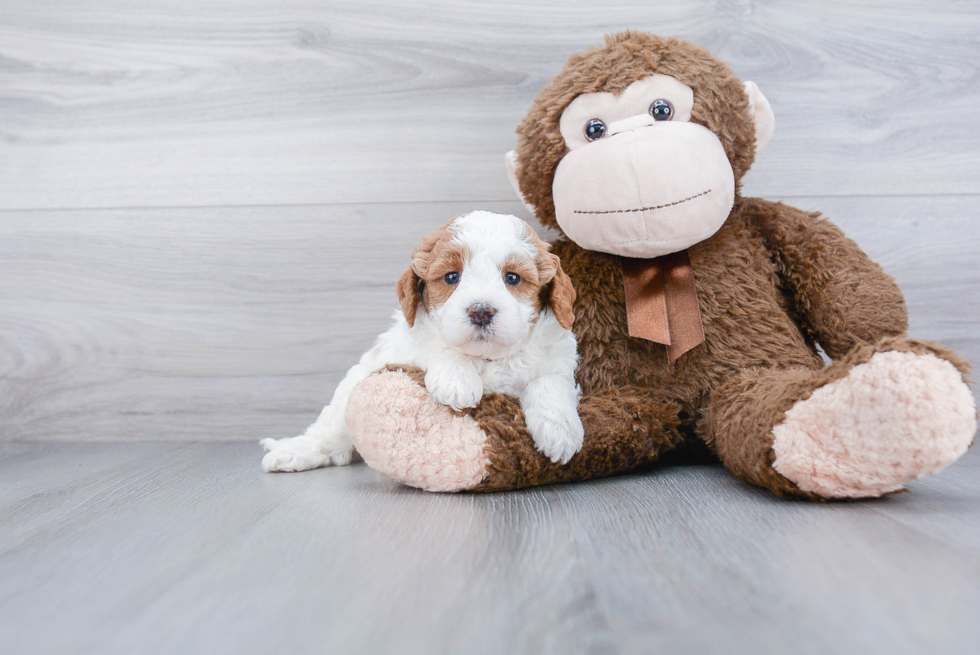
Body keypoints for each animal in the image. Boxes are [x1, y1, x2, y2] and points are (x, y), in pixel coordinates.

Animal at [258, 213, 580, 474]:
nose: (481, 311)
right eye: (451, 277)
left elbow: (549, 382)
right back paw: (295, 452)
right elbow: (437, 346)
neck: (486, 357)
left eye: (512, 278)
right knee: (328, 433)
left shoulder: (558, 359)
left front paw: (560, 432)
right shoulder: (405, 343)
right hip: (347, 394)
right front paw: (457, 379)